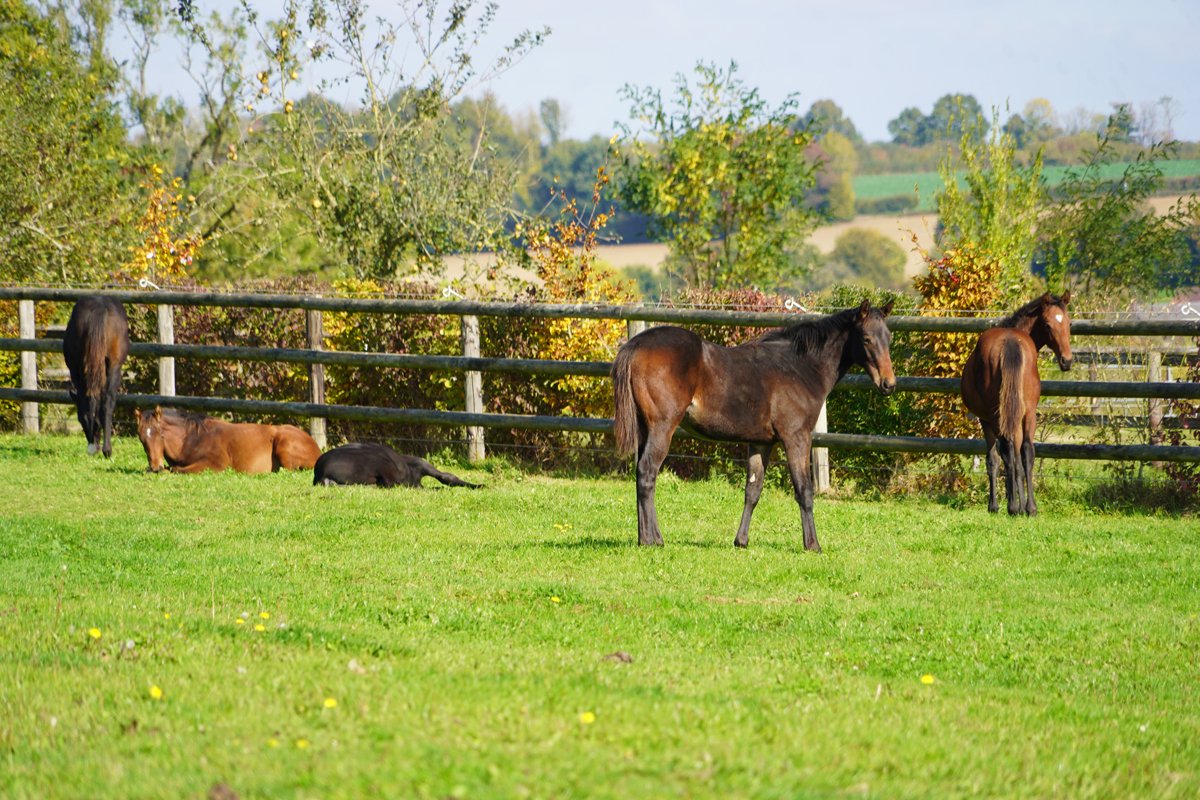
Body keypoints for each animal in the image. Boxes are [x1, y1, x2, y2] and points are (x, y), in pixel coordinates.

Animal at [62, 296, 130, 458]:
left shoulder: (75, 371)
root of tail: (99, 307)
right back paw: (107, 450)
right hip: (114, 367)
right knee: (107, 404)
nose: (93, 448)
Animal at [135, 406, 321, 474]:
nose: (156, 466)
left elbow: (176, 470)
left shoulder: (217, 464)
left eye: (161, 435)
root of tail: (317, 449)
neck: (193, 439)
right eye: (141, 438)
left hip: (284, 445)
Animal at [611, 300, 896, 552]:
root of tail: (635, 345)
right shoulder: (797, 437)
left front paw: (741, 541)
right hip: (662, 427)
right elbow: (804, 490)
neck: (800, 367)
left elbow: (753, 490)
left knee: (640, 474)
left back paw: (644, 538)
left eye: (889, 337)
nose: (889, 384)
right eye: (867, 339)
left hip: (645, 429)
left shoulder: (761, 443)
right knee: (647, 473)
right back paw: (653, 540)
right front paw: (813, 545)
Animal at [960, 291, 1073, 516]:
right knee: (1027, 452)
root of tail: (1010, 342)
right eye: (1048, 324)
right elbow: (1021, 457)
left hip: (998, 415)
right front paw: (1022, 504)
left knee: (1007, 451)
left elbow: (994, 459)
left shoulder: (986, 419)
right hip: (1028, 413)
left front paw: (996, 505)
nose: (1067, 360)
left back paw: (1013, 506)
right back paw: (1030, 507)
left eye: (1068, 323)